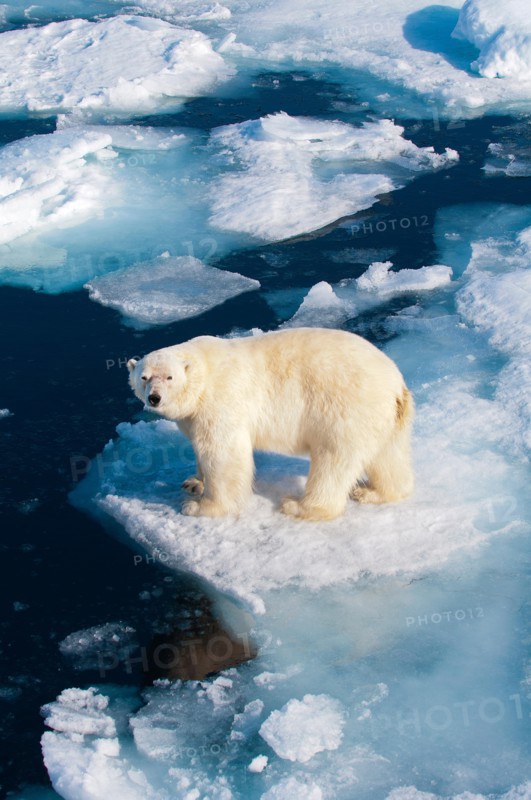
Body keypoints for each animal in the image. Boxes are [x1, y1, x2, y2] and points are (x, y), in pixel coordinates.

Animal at [127, 327, 414, 521]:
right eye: (144, 377)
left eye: (169, 377)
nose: (154, 398)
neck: (204, 373)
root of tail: (396, 385)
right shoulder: (192, 416)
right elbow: (199, 446)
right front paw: (194, 482)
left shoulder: (222, 399)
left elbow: (223, 455)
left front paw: (199, 507)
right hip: (386, 418)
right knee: (388, 456)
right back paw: (374, 492)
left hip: (345, 409)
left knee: (333, 461)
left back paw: (298, 506)